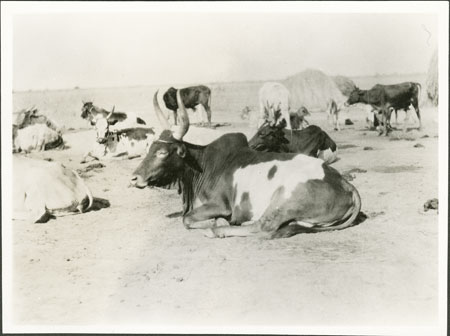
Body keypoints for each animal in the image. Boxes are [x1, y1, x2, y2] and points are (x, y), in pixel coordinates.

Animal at [130, 90, 362, 240]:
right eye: (150, 148)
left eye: (162, 152)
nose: (134, 178)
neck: (203, 165)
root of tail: (345, 183)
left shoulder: (220, 205)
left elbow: (186, 219)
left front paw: (217, 223)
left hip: (284, 201)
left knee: (265, 227)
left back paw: (218, 230)